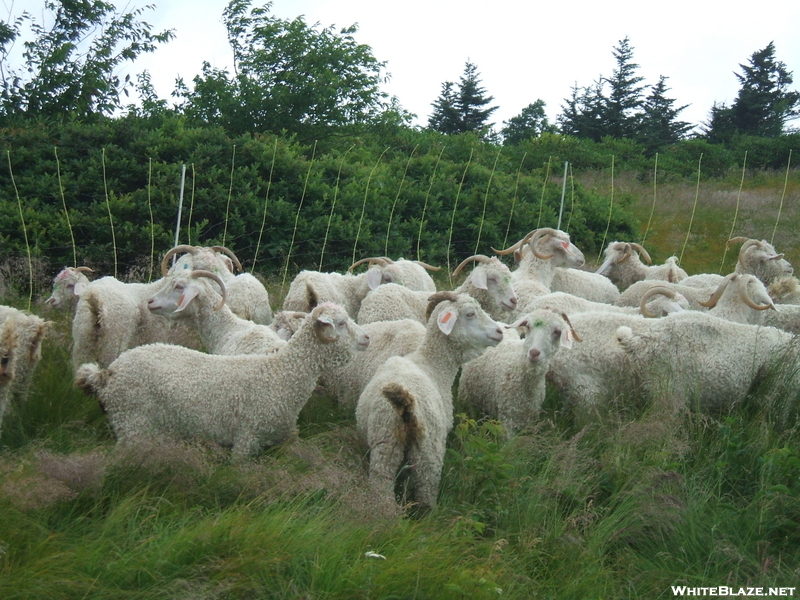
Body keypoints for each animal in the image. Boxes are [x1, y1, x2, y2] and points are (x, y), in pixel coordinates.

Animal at [76, 302, 370, 458]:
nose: (367, 338)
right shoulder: (247, 438)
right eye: (341, 323)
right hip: (131, 422)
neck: (280, 373)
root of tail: (106, 373)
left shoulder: (280, 438)